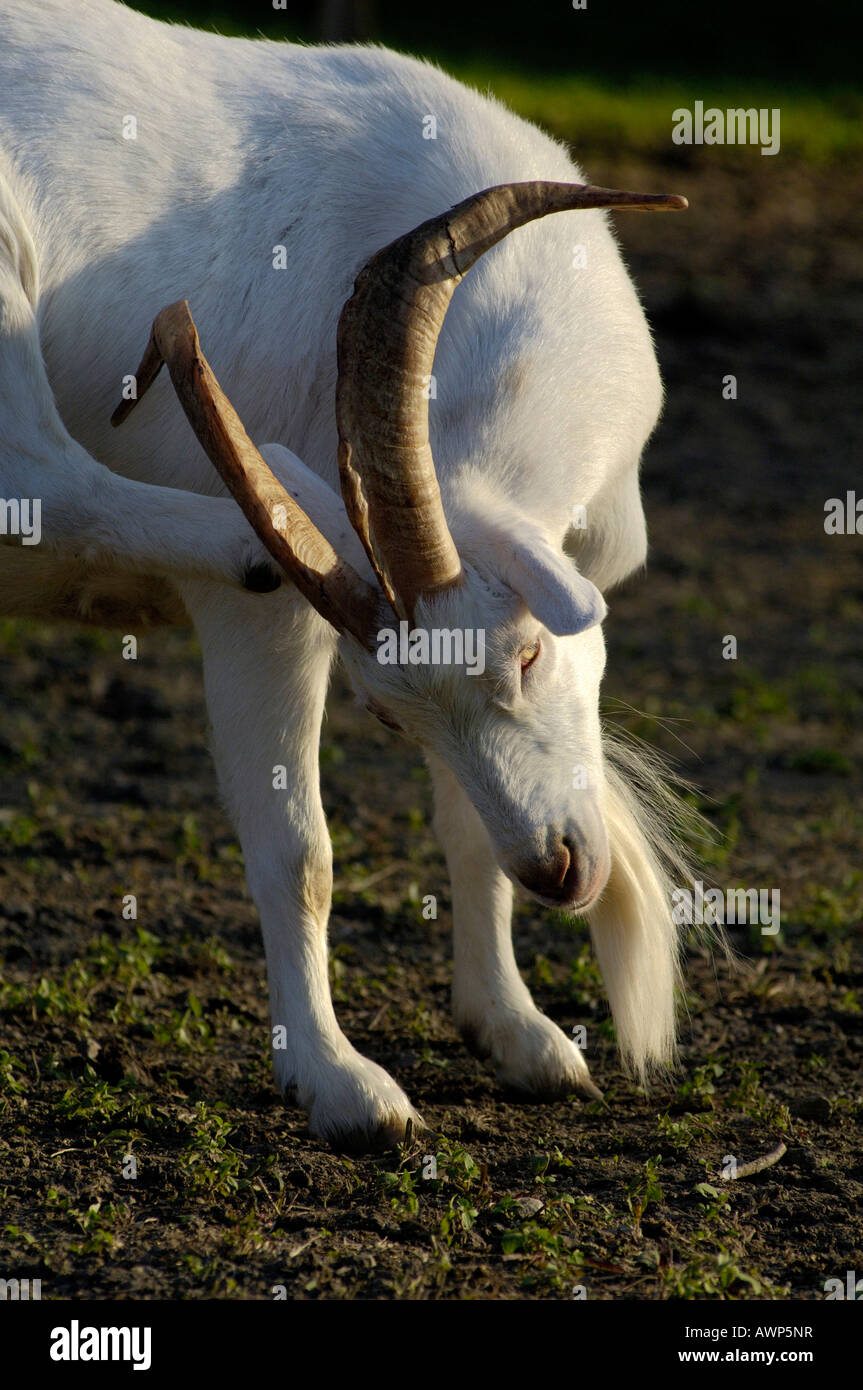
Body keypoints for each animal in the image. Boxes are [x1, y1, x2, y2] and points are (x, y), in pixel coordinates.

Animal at [0, 0, 686, 1150]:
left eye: (528, 654)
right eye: (387, 716)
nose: (557, 868)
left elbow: (464, 827)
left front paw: (518, 1033)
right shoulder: (261, 636)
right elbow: (300, 854)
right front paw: (339, 1083)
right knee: (41, 477)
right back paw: (266, 518)